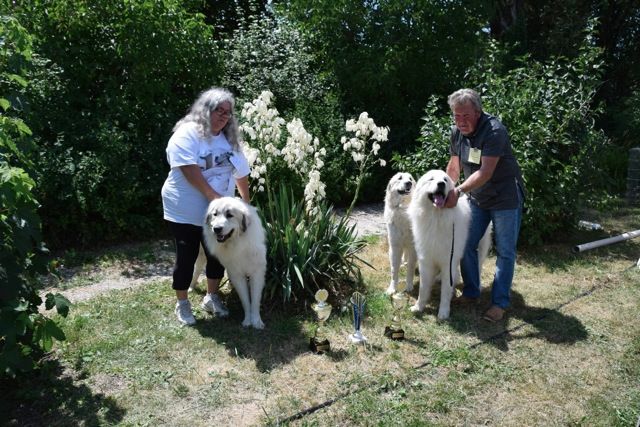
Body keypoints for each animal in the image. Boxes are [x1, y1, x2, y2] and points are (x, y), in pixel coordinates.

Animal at [202, 198, 268, 332]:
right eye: (215, 214)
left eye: (230, 215)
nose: (217, 229)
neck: (238, 244)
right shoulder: (237, 275)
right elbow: (245, 300)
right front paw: (247, 320)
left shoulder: (257, 274)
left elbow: (255, 300)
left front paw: (256, 322)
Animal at [408, 171, 492, 320]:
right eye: (431, 179)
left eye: (445, 180)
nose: (441, 184)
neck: (436, 217)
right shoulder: (426, 260)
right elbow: (423, 288)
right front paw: (418, 307)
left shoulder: (449, 260)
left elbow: (446, 289)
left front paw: (443, 312)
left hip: (479, 248)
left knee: (478, 267)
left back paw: (478, 287)